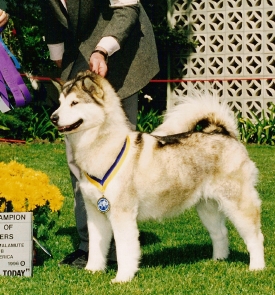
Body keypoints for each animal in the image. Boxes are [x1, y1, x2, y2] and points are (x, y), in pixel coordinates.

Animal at [51, 70, 266, 284]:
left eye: (75, 103)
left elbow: (124, 251)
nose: (53, 117)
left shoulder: (122, 214)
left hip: (238, 205)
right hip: (207, 208)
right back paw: (218, 260)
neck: (102, 147)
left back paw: (257, 267)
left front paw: (122, 278)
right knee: (220, 233)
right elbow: (96, 247)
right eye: (60, 102)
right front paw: (92, 271)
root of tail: (223, 132)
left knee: (256, 237)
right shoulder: (95, 212)